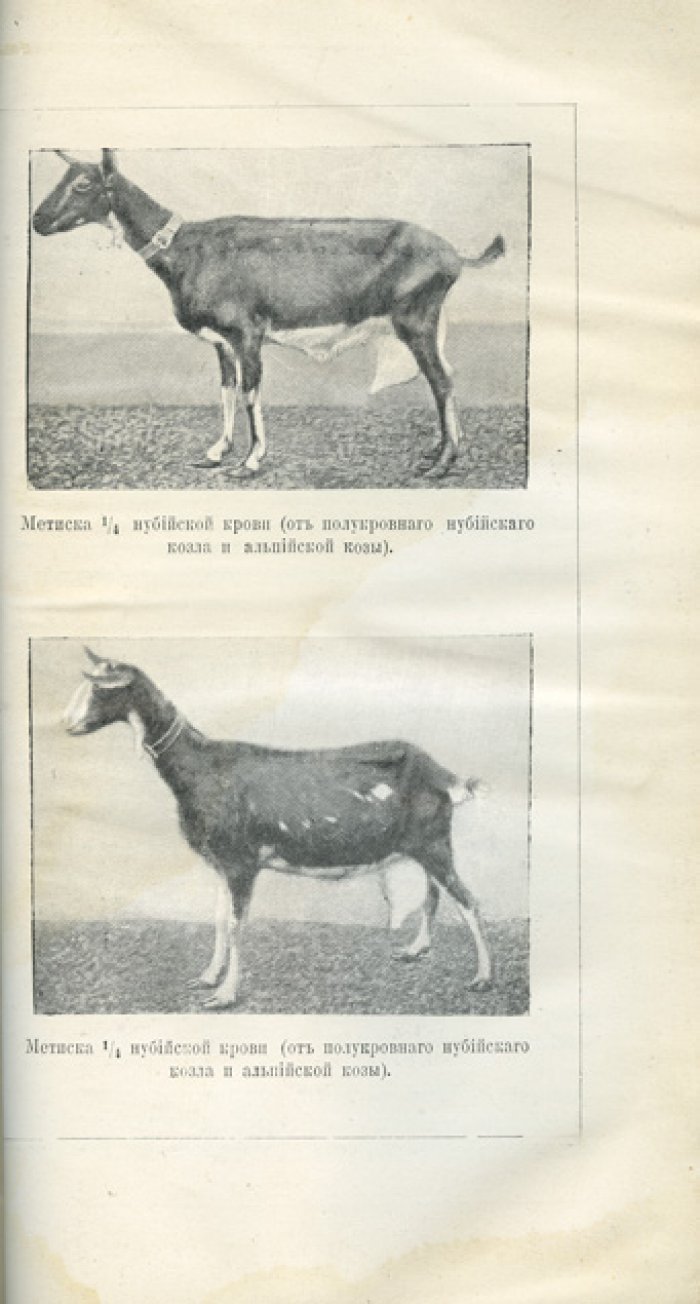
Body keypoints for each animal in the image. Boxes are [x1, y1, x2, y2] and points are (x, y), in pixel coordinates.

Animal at [32, 149, 505, 480]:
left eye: (83, 184)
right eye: (64, 178)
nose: (37, 220)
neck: (188, 249)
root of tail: (454, 254)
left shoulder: (248, 334)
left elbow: (250, 392)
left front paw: (250, 462)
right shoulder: (221, 342)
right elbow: (226, 391)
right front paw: (215, 454)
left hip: (415, 323)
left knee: (441, 381)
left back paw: (442, 464)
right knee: (444, 377)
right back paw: (436, 453)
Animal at [62, 648, 493, 1008]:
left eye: (99, 689)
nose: (66, 724)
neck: (202, 766)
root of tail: (440, 772)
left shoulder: (241, 863)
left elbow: (236, 925)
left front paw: (225, 995)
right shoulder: (221, 863)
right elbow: (219, 920)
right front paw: (207, 978)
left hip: (434, 845)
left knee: (468, 901)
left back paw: (483, 978)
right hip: (423, 848)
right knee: (434, 895)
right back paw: (416, 949)